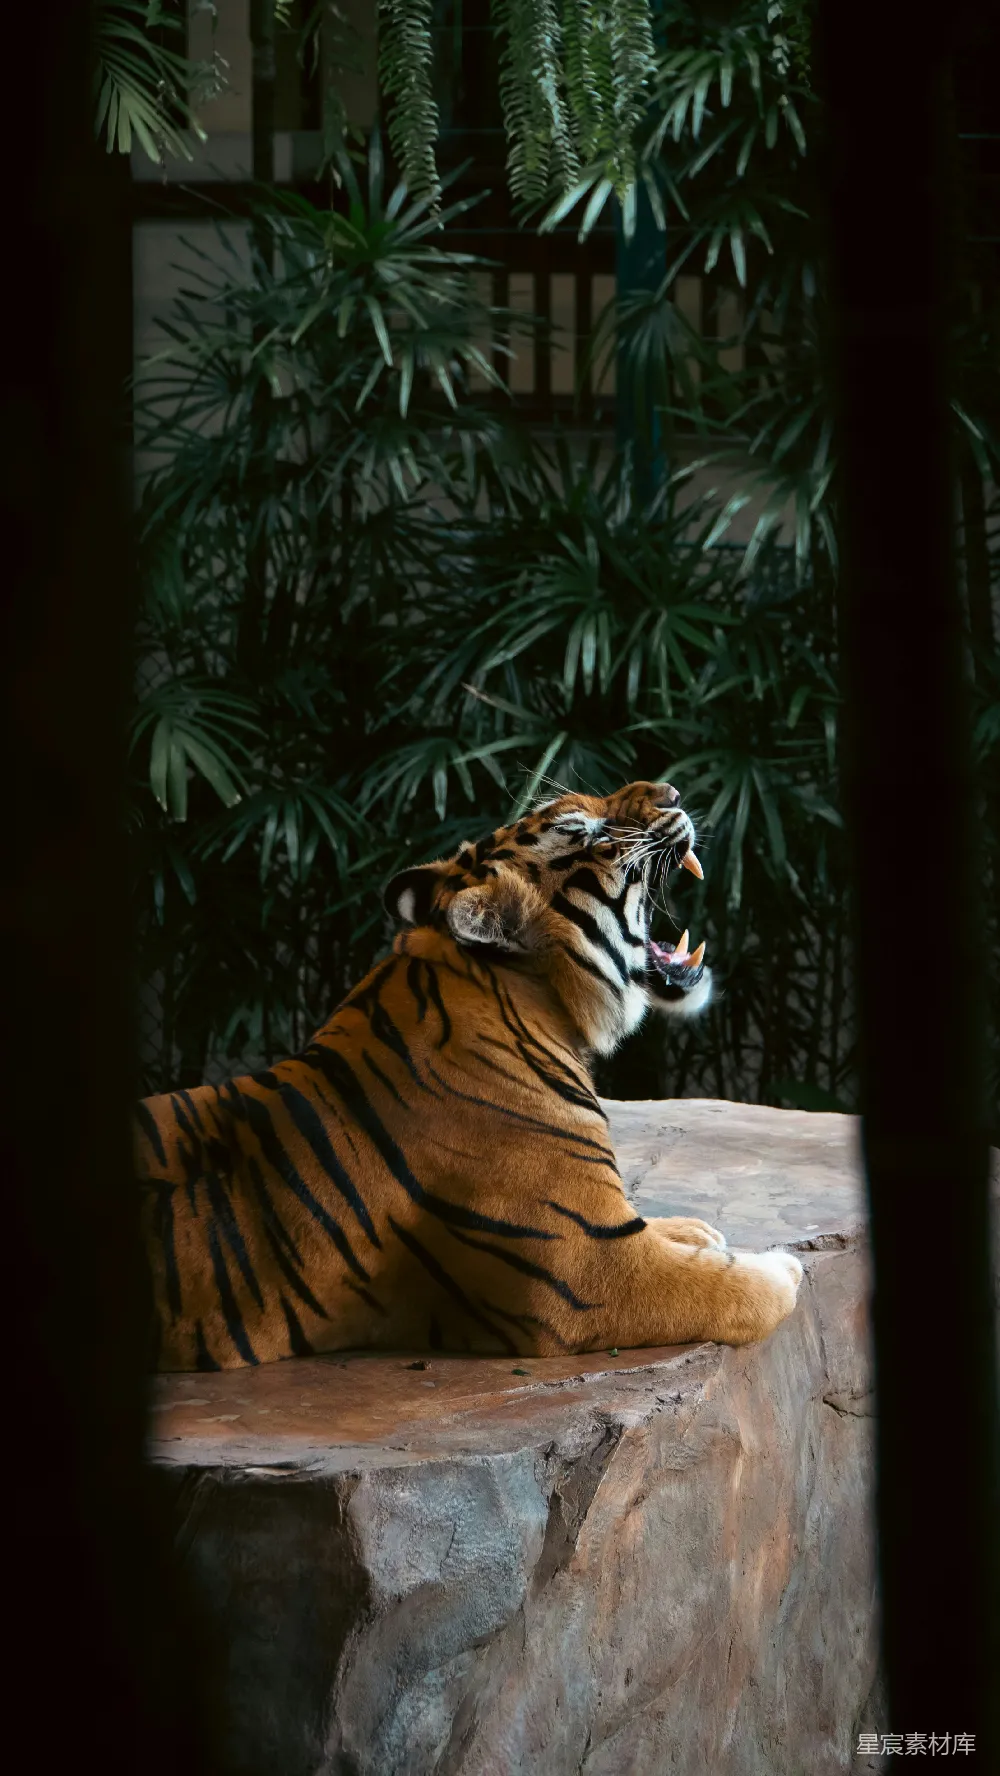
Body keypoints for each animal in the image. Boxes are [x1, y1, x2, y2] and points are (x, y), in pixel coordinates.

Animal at [136, 779, 803, 1372]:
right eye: (585, 832)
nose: (672, 793)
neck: (538, 1001)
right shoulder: (585, 1267)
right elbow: (730, 1291)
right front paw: (781, 1269)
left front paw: (694, 1230)